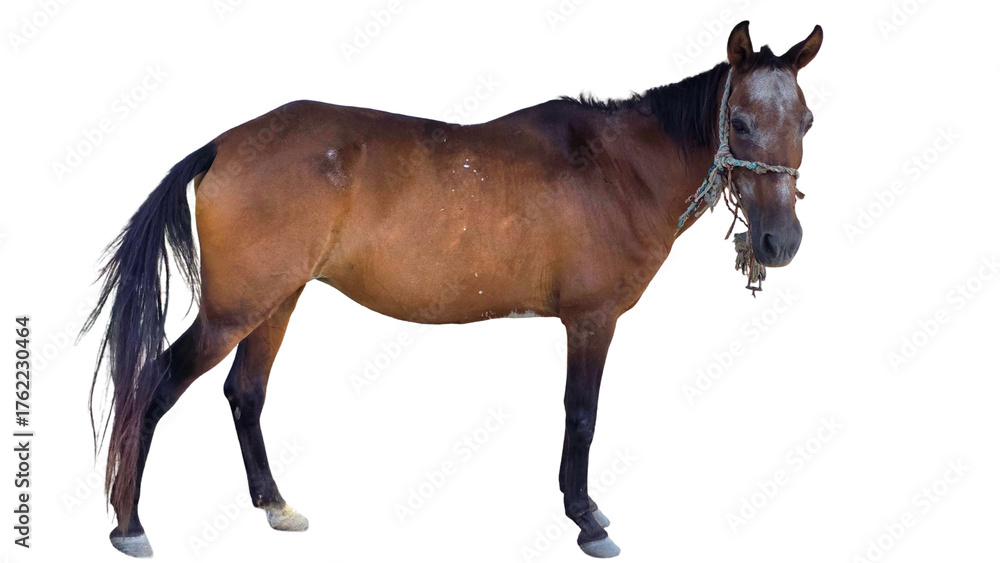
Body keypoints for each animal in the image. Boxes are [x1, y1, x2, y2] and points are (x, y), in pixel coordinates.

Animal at [81, 20, 822, 558]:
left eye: (807, 121)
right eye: (740, 122)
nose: (778, 243)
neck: (617, 168)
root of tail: (223, 144)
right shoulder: (590, 320)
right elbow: (581, 415)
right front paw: (585, 518)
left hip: (276, 301)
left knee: (245, 393)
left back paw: (274, 504)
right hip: (235, 309)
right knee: (155, 385)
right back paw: (129, 524)